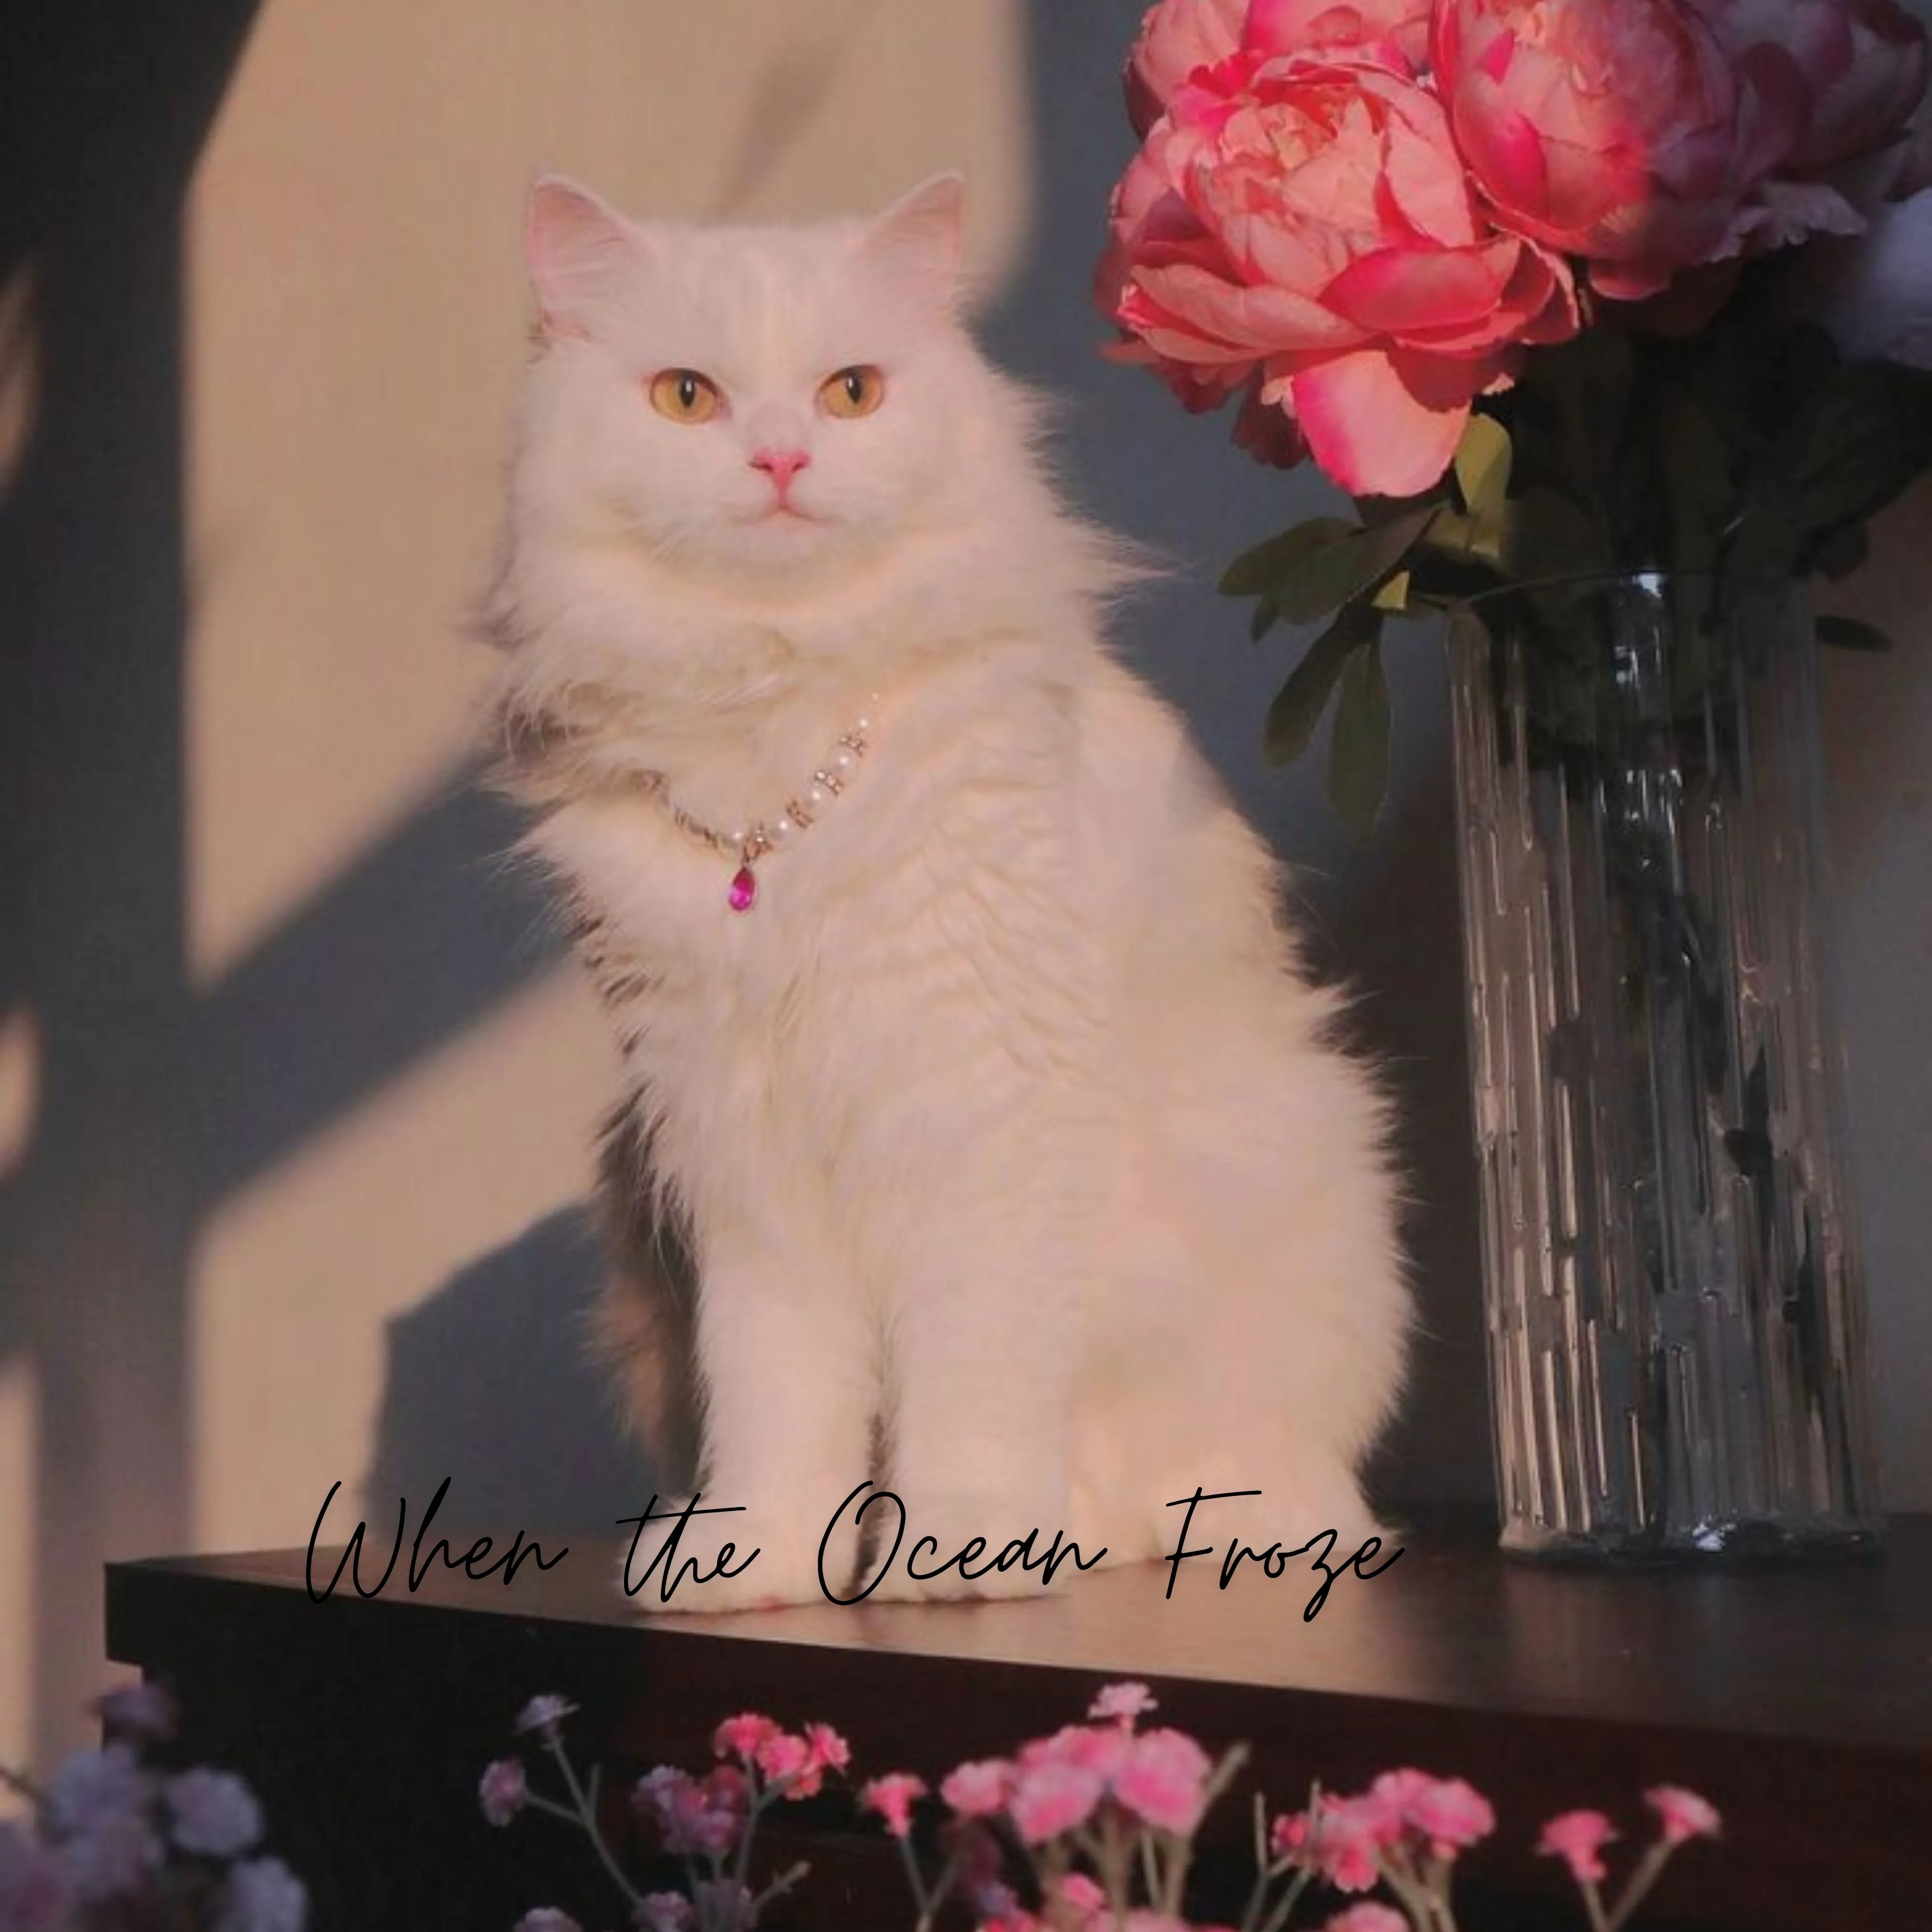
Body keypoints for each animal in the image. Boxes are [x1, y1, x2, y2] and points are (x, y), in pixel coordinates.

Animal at [481, 172, 1409, 1610]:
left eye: (852, 392)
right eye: (687, 398)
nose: (782, 462)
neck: (779, 763)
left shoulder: (987, 1112)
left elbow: (972, 1378)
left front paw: (961, 1551)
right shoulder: (735, 1141)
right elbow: (775, 1398)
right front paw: (751, 1556)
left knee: (1207, 1477)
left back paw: (1106, 1527)